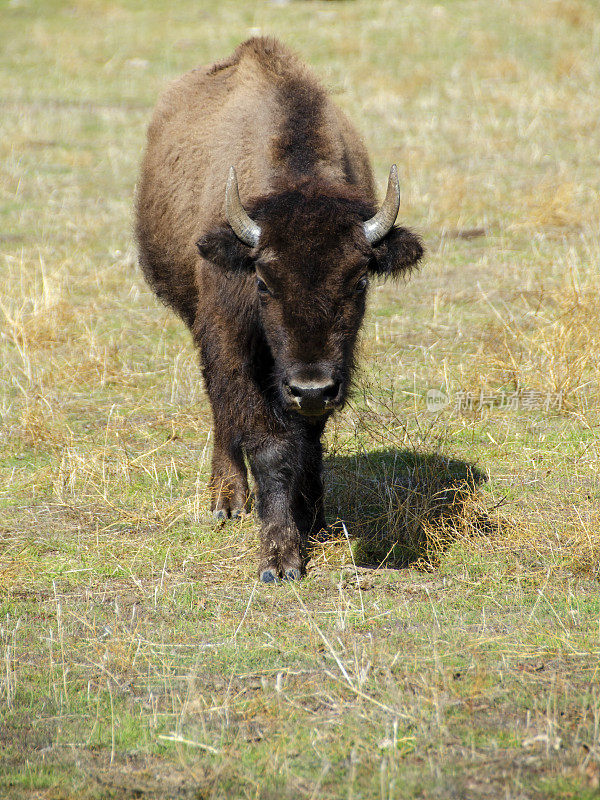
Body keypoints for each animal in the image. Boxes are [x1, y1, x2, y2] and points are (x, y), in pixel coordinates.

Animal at [135, 37, 422, 580]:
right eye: (263, 282)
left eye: (360, 281)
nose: (310, 387)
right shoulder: (232, 340)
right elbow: (267, 444)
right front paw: (279, 558)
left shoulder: (327, 373)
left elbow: (310, 439)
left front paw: (313, 518)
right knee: (221, 407)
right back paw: (226, 500)